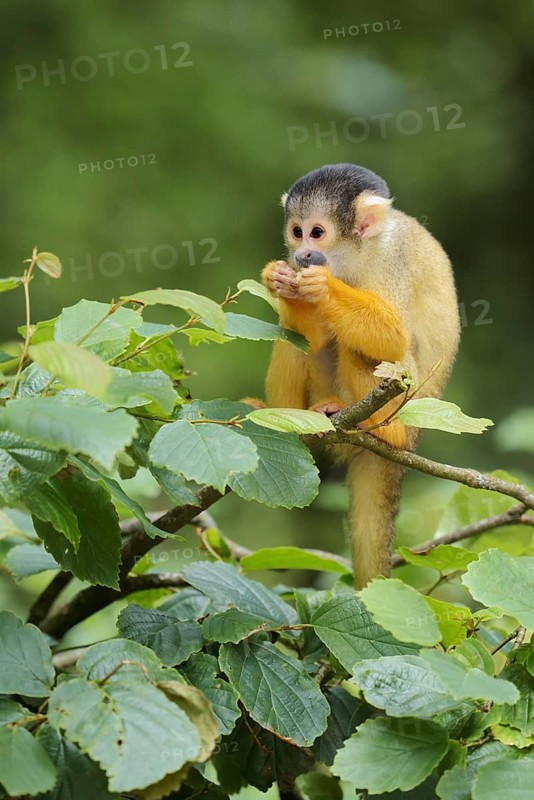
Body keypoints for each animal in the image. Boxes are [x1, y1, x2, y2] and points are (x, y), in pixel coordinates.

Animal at [259, 163, 460, 588]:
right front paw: (280, 280)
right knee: (294, 337)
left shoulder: (388, 259)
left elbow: (393, 336)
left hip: (407, 403)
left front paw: (321, 287)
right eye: (296, 231)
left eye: (317, 232)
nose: (300, 254)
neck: (352, 256)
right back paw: (283, 415)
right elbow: (312, 337)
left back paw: (383, 430)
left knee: (374, 352)